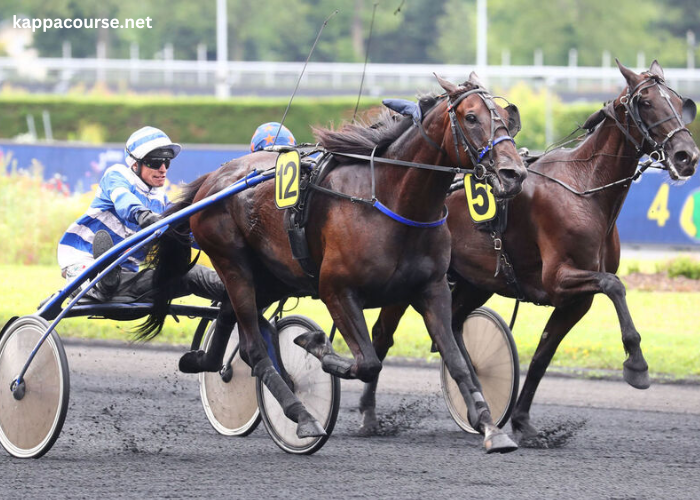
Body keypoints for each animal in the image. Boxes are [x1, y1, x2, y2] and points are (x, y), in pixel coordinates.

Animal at [139, 74, 528, 454]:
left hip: (273, 275)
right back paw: (302, 416)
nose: (514, 173)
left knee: (229, 316)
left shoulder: (431, 289)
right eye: (471, 117)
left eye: (506, 117)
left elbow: (457, 361)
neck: (391, 201)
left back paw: (203, 361)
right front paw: (315, 345)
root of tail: (213, 179)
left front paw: (491, 427)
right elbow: (367, 362)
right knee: (253, 347)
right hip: (232, 262)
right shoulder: (336, 289)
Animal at [364, 60, 696, 444]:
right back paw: (370, 416)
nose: (687, 156)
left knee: (454, 325)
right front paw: (637, 365)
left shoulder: (576, 300)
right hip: (411, 280)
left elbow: (542, 356)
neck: (584, 188)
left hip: (475, 281)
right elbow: (615, 286)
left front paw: (522, 422)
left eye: (679, 102)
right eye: (646, 102)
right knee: (383, 335)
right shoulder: (559, 278)